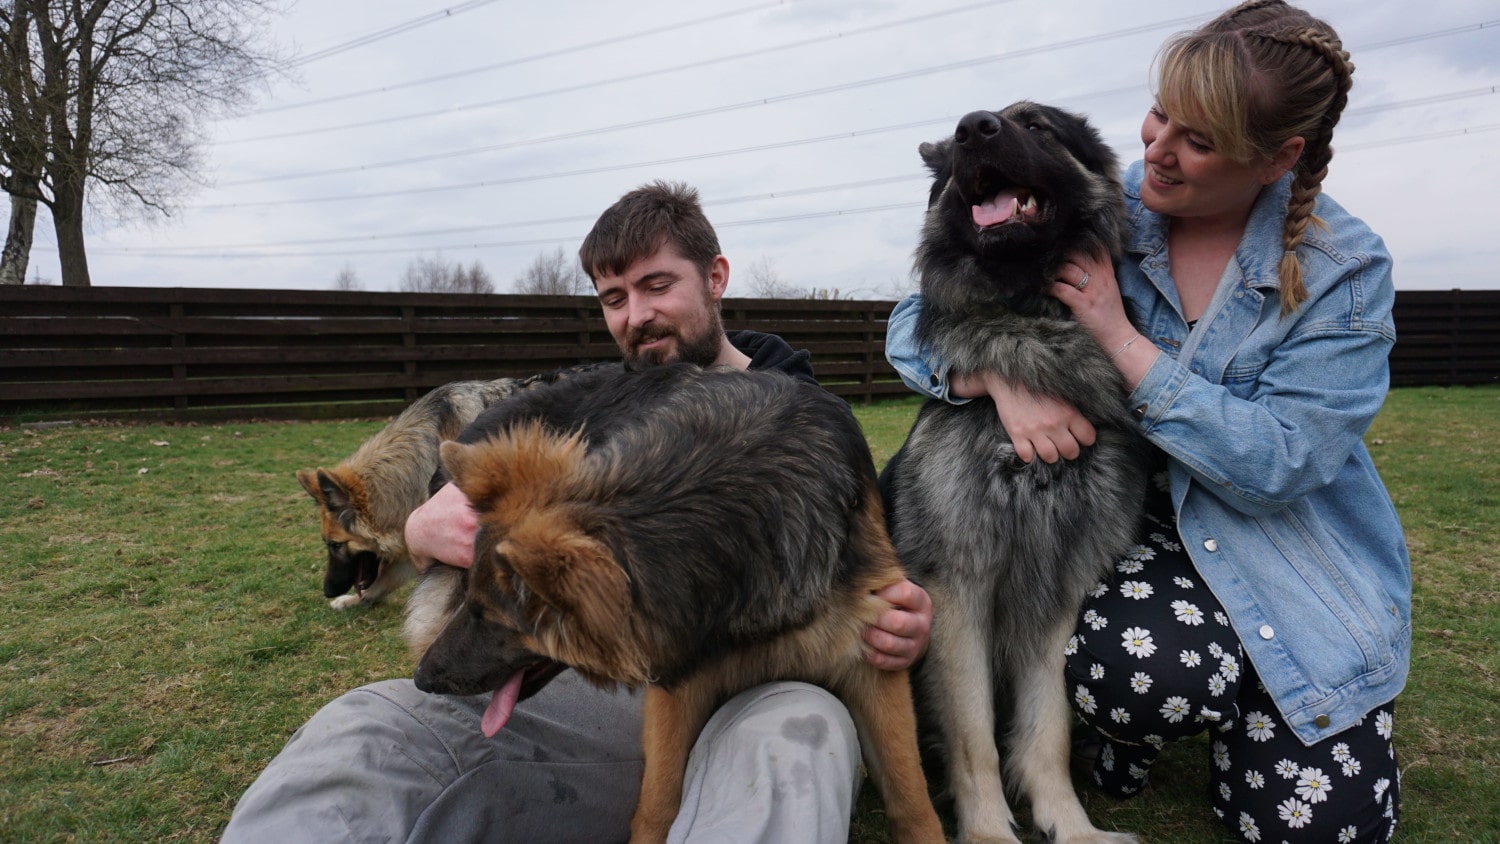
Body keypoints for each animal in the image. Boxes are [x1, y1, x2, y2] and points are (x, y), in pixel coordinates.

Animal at [876, 102, 1146, 839]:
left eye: (1038, 125)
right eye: (957, 142)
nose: (974, 128)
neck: (1030, 323)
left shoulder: (1058, 596)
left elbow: (1045, 728)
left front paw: (1071, 825)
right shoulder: (957, 591)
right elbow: (974, 738)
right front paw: (991, 831)